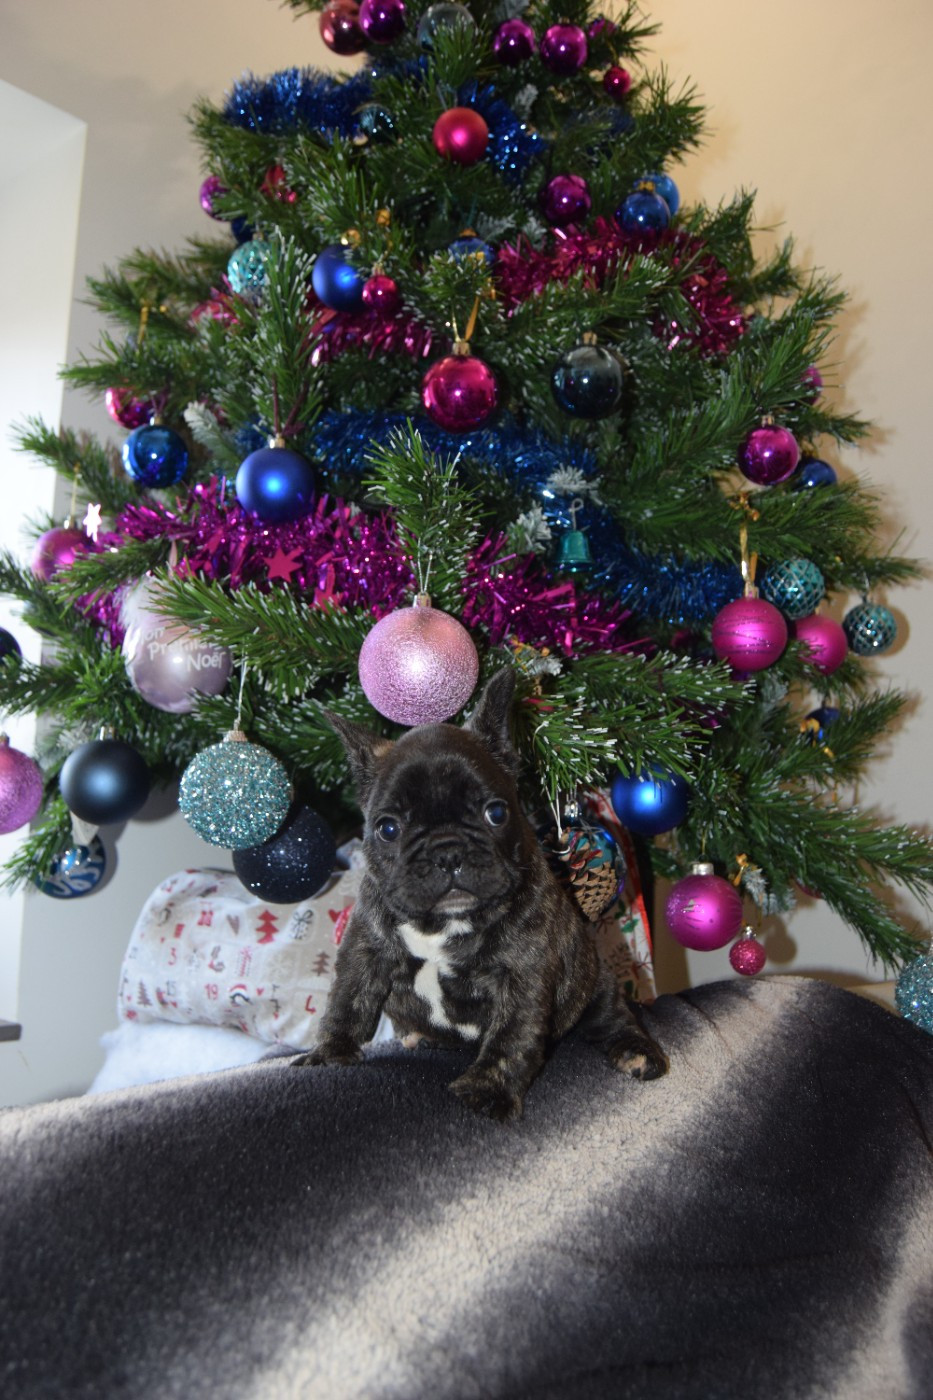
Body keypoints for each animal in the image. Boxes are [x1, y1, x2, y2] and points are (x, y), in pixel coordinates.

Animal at [293, 667, 668, 1119]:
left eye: (497, 812)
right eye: (387, 828)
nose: (447, 852)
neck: (443, 924)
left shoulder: (522, 973)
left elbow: (512, 1035)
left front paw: (488, 1090)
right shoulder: (366, 949)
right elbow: (348, 1002)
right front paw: (329, 1054)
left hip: (594, 982)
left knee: (613, 1017)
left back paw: (637, 1052)